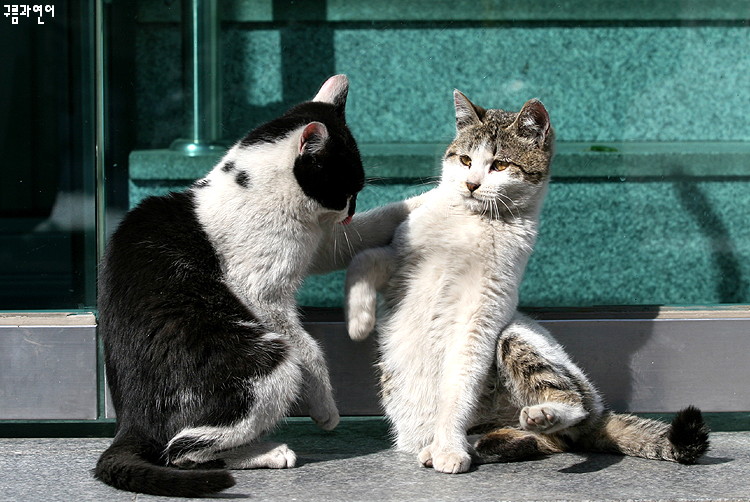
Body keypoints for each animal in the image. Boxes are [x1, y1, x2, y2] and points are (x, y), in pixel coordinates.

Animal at [96, 76, 414, 496]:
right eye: (348, 187)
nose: (349, 212)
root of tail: (129, 423)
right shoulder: (259, 293)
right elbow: (309, 348)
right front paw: (325, 407)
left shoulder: (317, 244)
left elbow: (361, 233)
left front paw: (416, 206)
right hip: (267, 364)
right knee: (182, 450)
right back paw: (269, 452)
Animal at [346, 91, 712, 474]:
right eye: (465, 160)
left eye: (499, 165)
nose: (471, 184)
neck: (475, 223)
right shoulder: (398, 258)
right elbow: (364, 259)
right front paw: (360, 322)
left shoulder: (480, 314)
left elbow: (458, 385)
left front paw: (448, 447)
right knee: (547, 442)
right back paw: (496, 439)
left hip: (517, 336)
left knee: (572, 408)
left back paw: (539, 417)